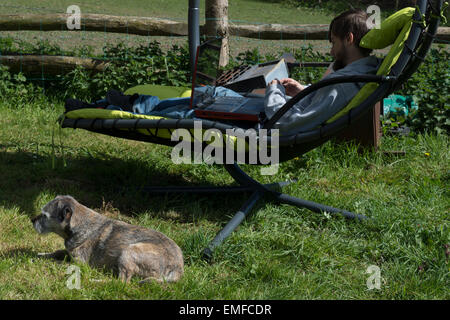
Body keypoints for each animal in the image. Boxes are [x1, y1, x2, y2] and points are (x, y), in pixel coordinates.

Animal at [30, 195, 184, 282]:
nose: (32, 220)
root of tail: (177, 268)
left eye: (44, 216)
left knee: (121, 282)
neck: (80, 224)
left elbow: (63, 262)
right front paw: (39, 255)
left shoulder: (80, 262)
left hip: (129, 251)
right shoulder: (69, 252)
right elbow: (57, 252)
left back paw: (98, 280)